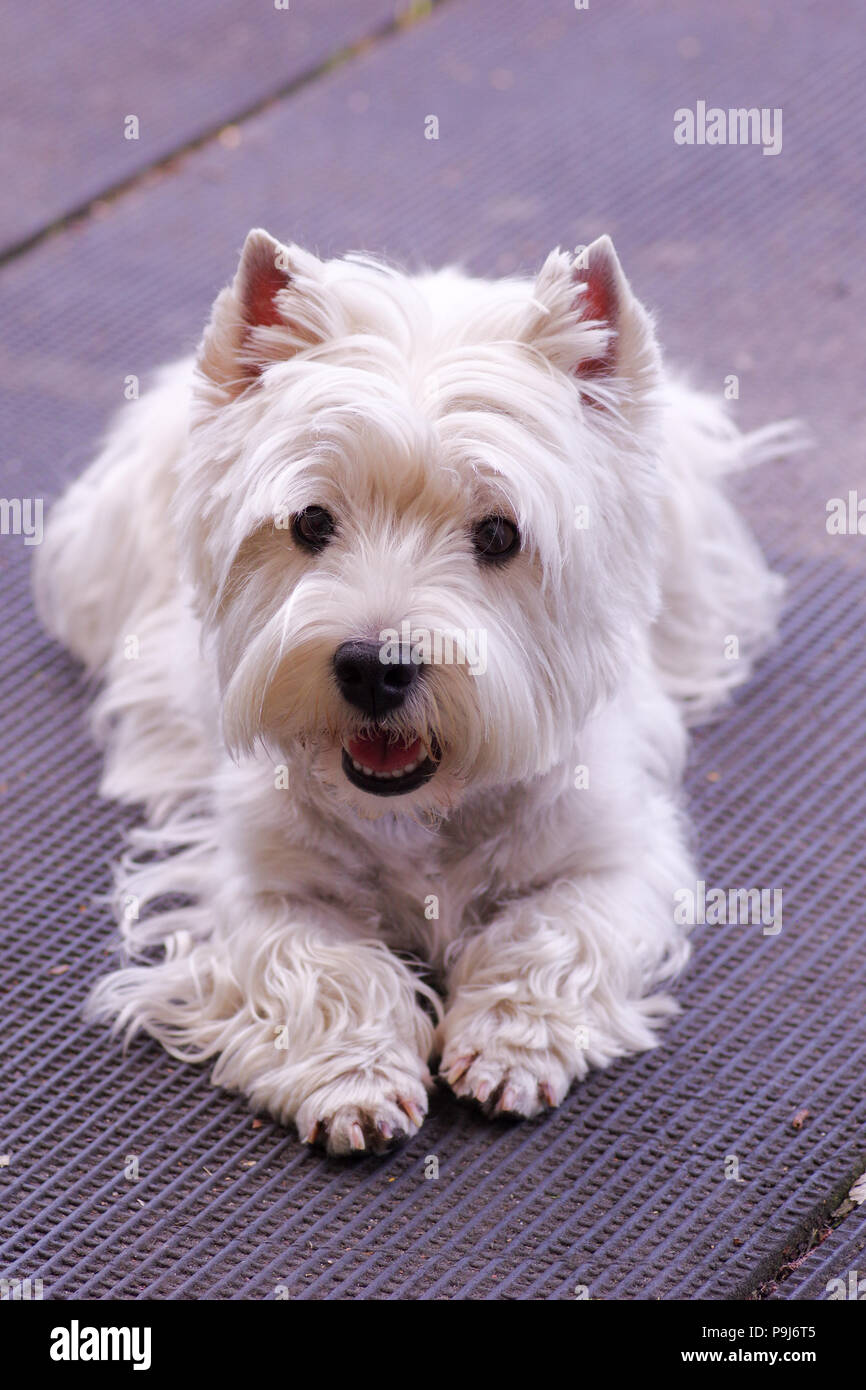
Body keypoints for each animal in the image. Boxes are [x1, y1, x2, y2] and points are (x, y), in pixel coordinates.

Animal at [33, 233, 795, 1156]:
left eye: (499, 533)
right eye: (311, 523)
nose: (373, 666)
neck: (426, 808)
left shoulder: (612, 854)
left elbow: (553, 929)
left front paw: (510, 1046)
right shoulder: (257, 882)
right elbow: (320, 962)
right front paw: (354, 1078)